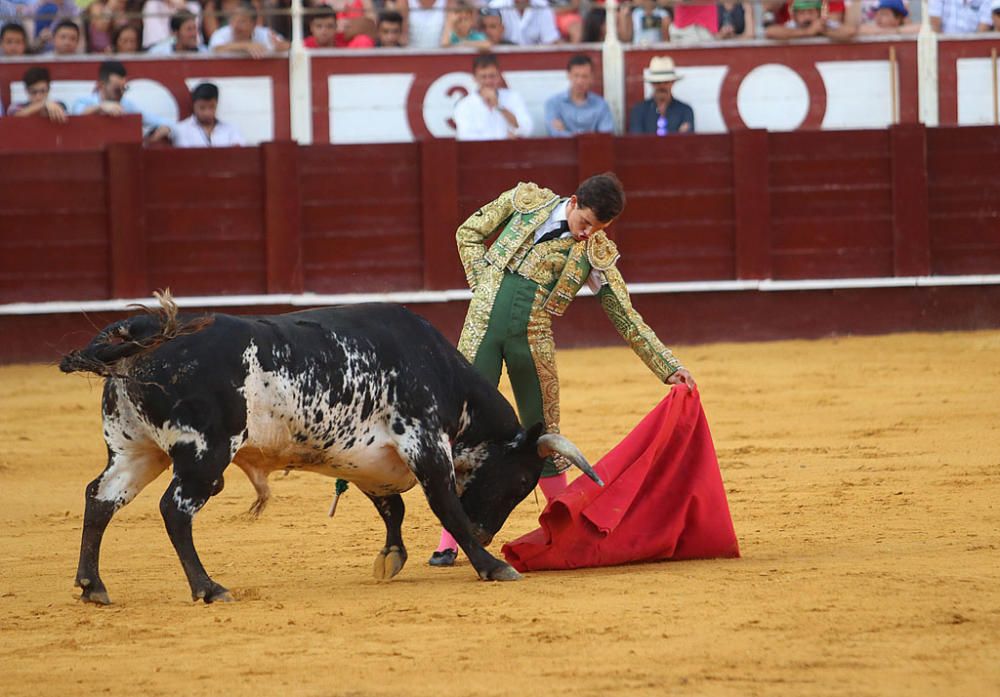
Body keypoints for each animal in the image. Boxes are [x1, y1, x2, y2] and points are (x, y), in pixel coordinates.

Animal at [60, 294, 600, 604]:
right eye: (523, 479)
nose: (488, 534)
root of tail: (147, 335)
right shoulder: (424, 443)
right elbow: (445, 507)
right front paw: (492, 566)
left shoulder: (365, 460)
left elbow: (393, 508)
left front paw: (391, 557)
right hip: (204, 453)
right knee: (175, 510)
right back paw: (208, 588)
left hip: (136, 450)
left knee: (100, 497)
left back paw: (93, 586)